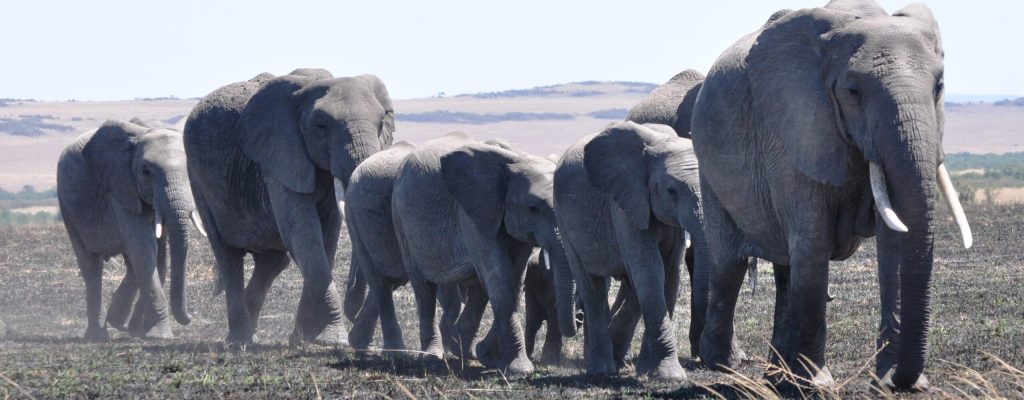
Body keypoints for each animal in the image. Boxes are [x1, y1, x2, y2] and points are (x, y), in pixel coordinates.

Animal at [57, 119, 204, 341]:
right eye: (146, 172)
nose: (190, 318)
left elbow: (156, 256)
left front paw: (141, 331)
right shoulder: (120, 188)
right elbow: (144, 249)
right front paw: (160, 336)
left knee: (135, 263)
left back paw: (120, 323)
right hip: (68, 207)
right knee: (91, 267)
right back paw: (98, 336)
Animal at [184, 68, 395, 345]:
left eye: (381, 125)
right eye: (321, 127)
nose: (353, 315)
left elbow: (326, 237)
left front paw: (304, 338)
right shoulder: (279, 154)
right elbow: (303, 233)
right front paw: (332, 339)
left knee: (272, 261)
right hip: (198, 179)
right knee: (228, 256)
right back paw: (240, 341)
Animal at [391, 133, 573, 376]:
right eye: (533, 209)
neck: (517, 159)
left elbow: (513, 282)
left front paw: (489, 357)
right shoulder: (473, 214)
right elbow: (501, 281)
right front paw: (519, 369)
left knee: (478, 288)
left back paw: (464, 350)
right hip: (401, 220)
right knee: (424, 289)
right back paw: (433, 355)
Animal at [553, 121, 711, 382]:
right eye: (671, 191)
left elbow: (670, 272)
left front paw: (648, 369)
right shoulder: (624, 203)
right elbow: (649, 269)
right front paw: (670, 376)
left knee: (629, 285)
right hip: (564, 221)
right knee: (592, 286)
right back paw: (601, 369)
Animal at [690, 1, 972, 391]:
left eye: (940, 87)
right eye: (853, 91)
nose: (902, 382)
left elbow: (894, 244)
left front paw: (890, 382)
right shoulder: (795, 130)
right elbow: (814, 240)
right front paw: (819, 384)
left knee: (786, 270)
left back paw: (778, 378)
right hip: (708, 164)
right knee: (730, 263)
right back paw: (724, 364)